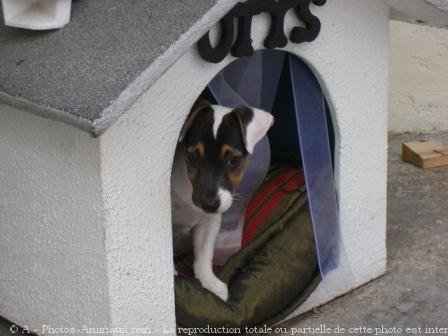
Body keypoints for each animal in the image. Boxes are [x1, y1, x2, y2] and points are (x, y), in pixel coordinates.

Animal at [172, 100, 274, 302]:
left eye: (233, 160)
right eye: (193, 156)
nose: (209, 204)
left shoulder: (210, 221)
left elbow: (203, 254)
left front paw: (210, 283)